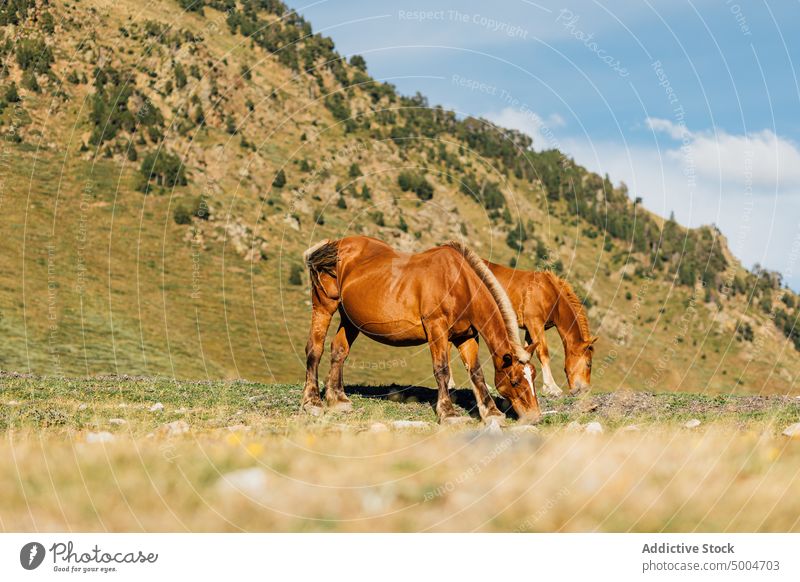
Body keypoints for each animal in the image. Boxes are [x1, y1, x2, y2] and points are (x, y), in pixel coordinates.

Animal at [304, 236, 540, 424]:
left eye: (533, 376)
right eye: (515, 381)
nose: (535, 416)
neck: (459, 283)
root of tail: (336, 245)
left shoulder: (467, 336)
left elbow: (476, 373)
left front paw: (491, 412)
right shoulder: (437, 329)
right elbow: (442, 370)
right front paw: (448, 413)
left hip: (350, 320)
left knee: (339, 351)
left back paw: (337, 399)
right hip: (324, 307)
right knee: (315, 349)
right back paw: (312, 401)